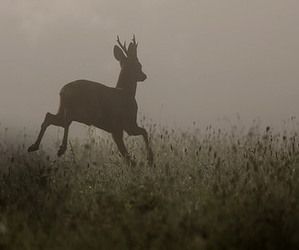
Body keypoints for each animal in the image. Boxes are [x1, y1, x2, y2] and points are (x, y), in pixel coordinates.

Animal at [27, 34, 155, 165]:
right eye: (139, 65)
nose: (144, 76)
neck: (126, 92)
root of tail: (62, 91)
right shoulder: (126, 124)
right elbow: (143, 132)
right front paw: (150, 159)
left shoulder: (119, 128)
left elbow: (128, 153)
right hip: (77, 109)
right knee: (66, 120)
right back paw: (61, 148)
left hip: (62, 109)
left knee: (50, 117)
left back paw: (33, 146)